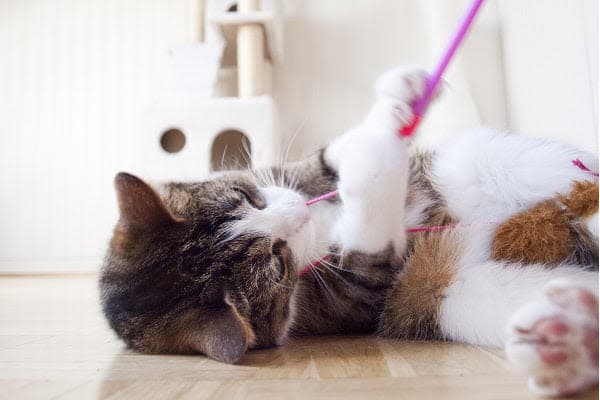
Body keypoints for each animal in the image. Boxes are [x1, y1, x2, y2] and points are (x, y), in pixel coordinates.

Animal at [101, 66, 596, 396]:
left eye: (248, 195)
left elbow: (327, 159)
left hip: (479, 161)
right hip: (448, 297)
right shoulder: (356, 294)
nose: (297, 211)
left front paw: (400, 99)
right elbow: (364, 255)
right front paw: (371, 166)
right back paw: (571, 335)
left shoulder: (295, 175)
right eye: (277, 259)